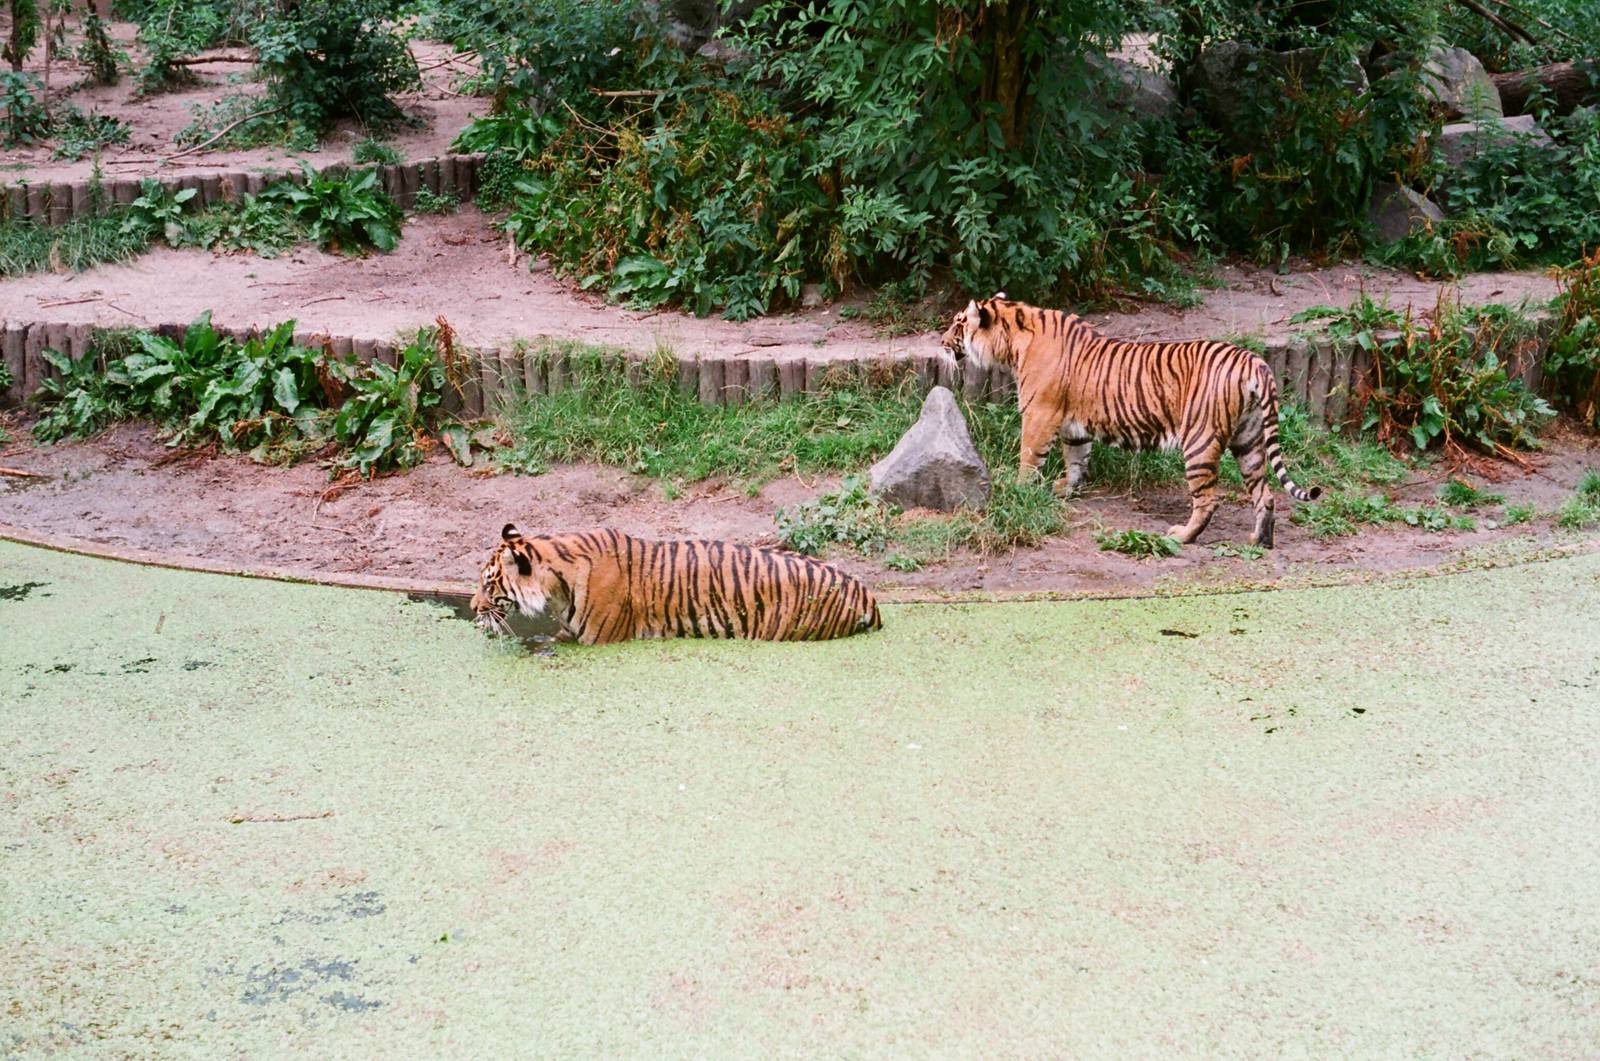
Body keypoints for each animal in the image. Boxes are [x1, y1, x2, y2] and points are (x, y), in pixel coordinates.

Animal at [942, 293, 1320, 548]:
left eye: (958, 323)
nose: (943, 342)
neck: (1013, 342)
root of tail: (1254, 361)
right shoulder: (1074, 426)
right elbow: (1076, 458)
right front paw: (1067, 489)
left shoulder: (1039, 414)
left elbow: (1029, 456)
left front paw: (1020, 487)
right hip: (1249, 439)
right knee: (1265, 495)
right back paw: (1260, 541)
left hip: (1200, 440)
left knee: (1208, 499)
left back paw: (1183, 536)